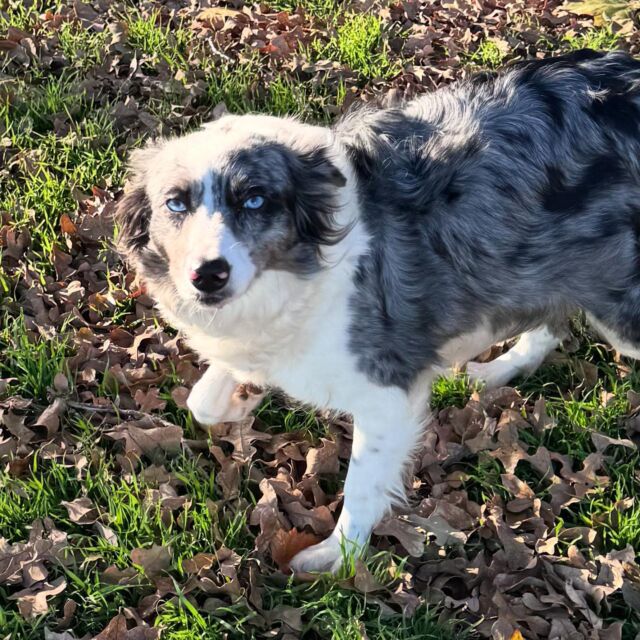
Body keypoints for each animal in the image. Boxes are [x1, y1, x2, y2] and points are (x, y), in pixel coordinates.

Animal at [117, 47, 640, 572]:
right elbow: (201, 402)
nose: (208, 275)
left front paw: (339, 557)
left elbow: (362, 486)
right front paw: (244, 397)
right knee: (552, 323)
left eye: (255, 199)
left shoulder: (388, 393)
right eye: (175, 204)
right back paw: (495, 371)